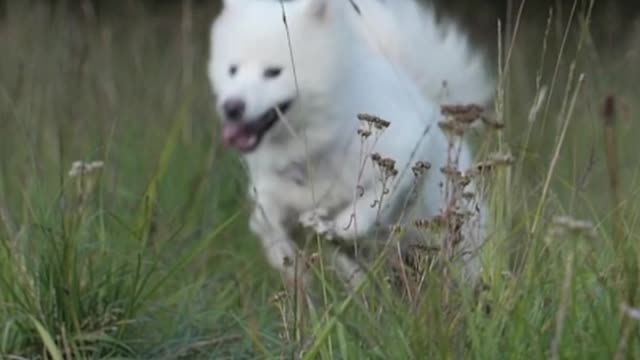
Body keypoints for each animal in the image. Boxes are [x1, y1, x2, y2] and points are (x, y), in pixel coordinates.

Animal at [210, 0, 496, 292]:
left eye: (273, 72)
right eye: (232, 70)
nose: (231, 107)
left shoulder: (404, 160)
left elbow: (364, 210)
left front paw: (334, 227)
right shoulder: (272, 190)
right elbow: (267, 220)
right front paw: (288, 260)